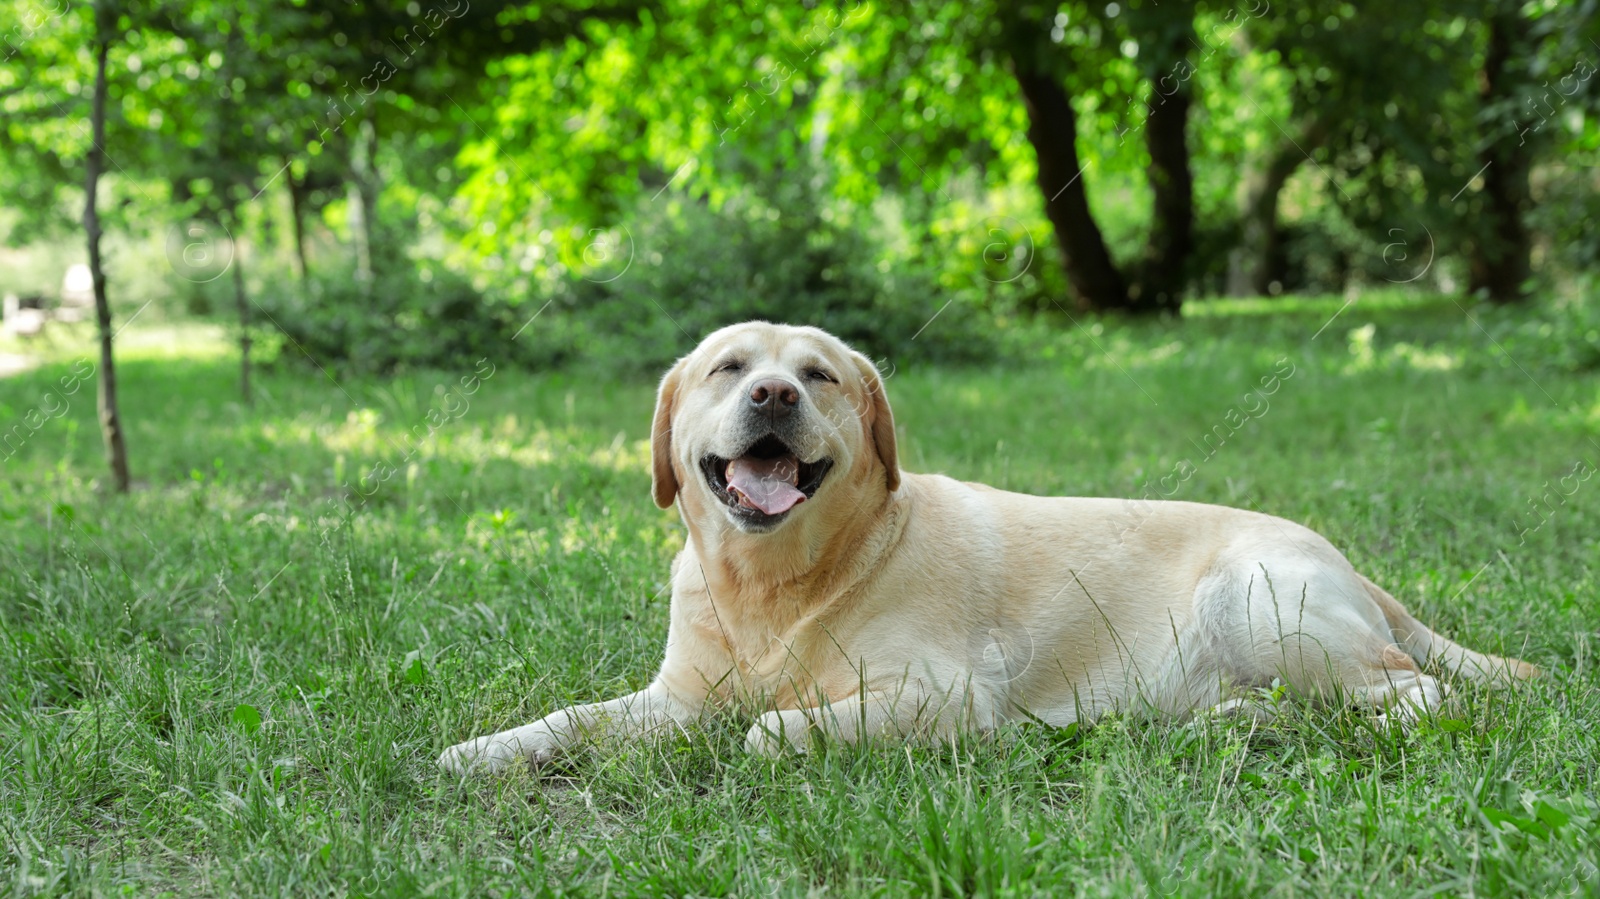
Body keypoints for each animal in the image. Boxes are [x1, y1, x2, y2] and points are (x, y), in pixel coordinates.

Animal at [441, 321, 1536, 771]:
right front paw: (483, 748)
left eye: (819, 374)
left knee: (1415, 694)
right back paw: (1222, 725)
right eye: (728, 367)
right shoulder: (672, 698)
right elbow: (572, 717)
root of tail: (1352, 564)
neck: (777, 584)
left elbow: (766, 729)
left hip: (1261, 597)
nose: (774, 394)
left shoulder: (940, 690)